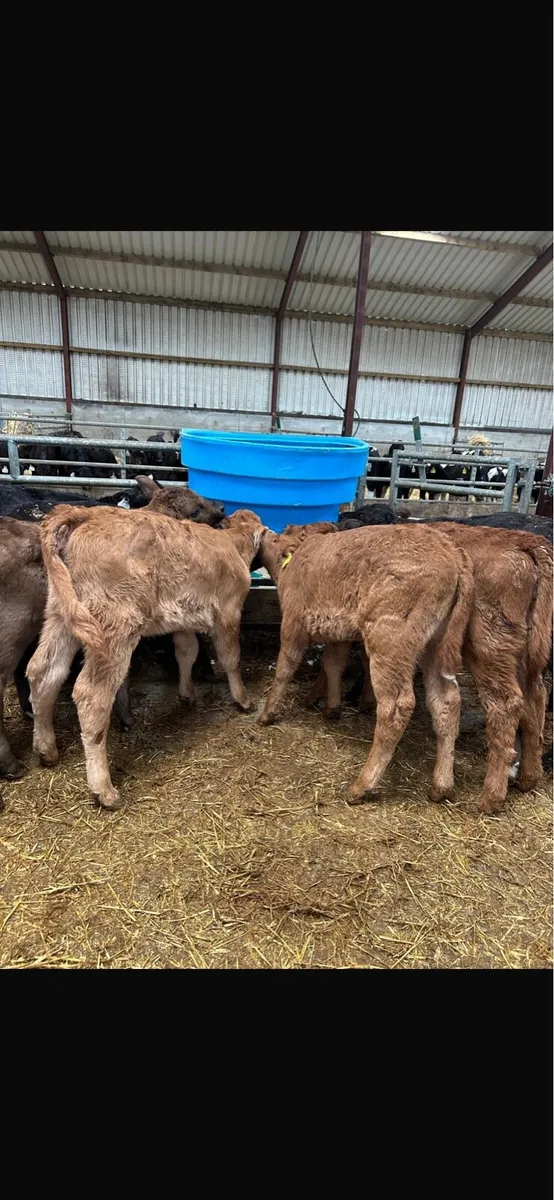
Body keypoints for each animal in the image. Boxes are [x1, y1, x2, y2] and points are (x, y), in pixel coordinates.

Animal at [0, 482, 225, 780]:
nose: (221, 507)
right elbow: (178, 652)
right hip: (35, 629)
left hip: (59, 616)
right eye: (196, 509)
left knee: (41, 670)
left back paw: (44, 744)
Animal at [27, 508, 264, 809]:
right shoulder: (229, 613)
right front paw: (243, 699)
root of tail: (85, 513)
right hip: (114, 623)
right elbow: (231, 657)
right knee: (91, 695)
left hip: (61, 613)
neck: (231, 544)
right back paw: (104, 789)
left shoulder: (184, 619)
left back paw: (46, 749)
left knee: (44, 671)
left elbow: (186, 652)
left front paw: (187, 693)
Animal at [256, 524, 473, 806]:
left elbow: (285, 667)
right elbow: (333, 664)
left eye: (273, 538)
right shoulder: (337, 632)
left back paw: (362, 785)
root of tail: (452, 554)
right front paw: (332, 708)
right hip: (437, 644)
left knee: (396, 708)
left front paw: (268, 713)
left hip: (389, 640)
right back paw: (442, 785)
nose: (263, 531)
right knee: (446, 702)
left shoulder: (293, 622)